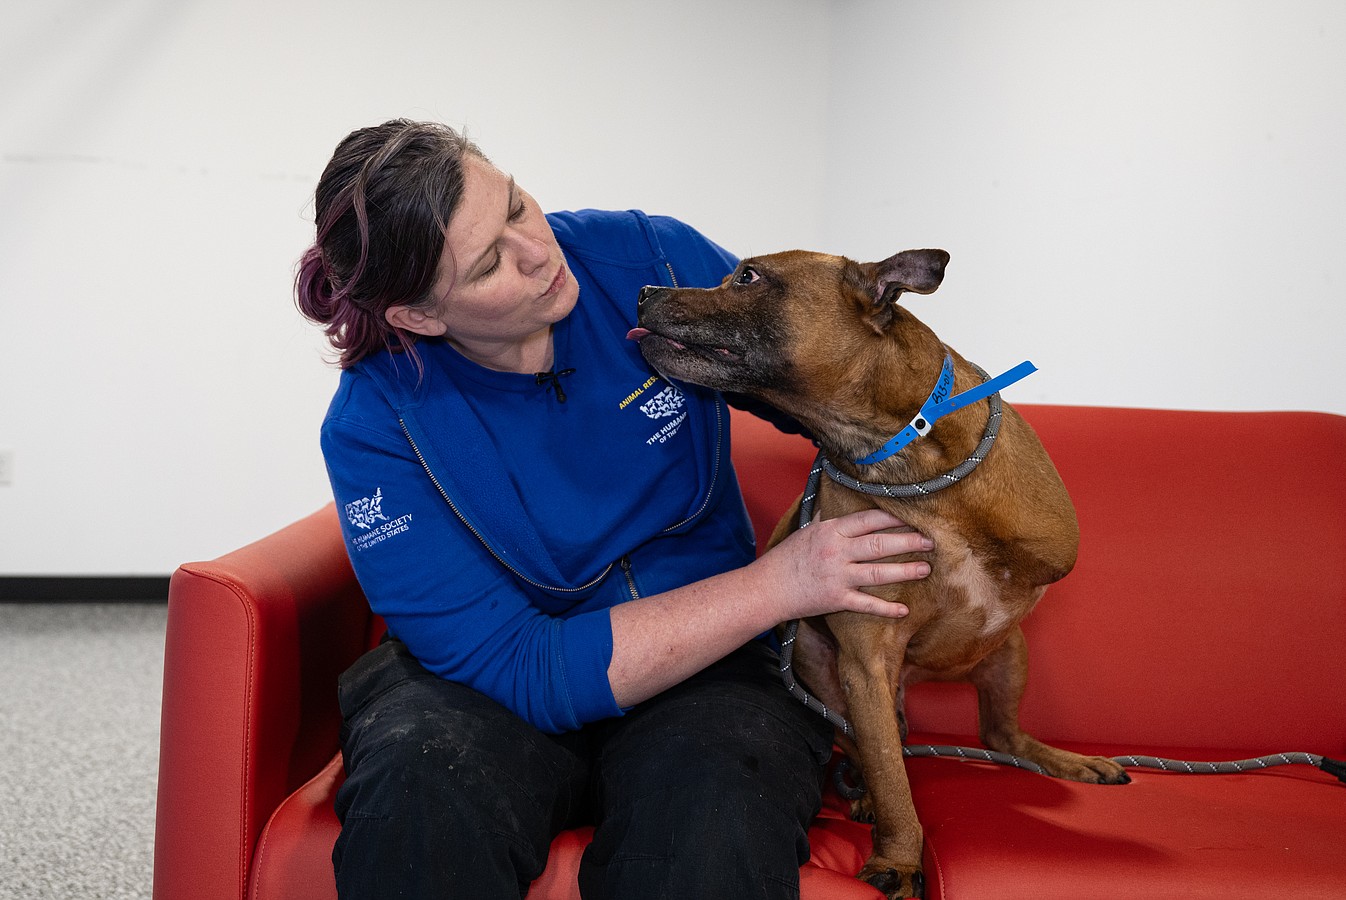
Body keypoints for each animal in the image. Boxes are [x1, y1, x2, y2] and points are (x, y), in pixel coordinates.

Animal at [627, 251, 1125, 898]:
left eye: (747, 277)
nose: (643, 290)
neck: (892, 444)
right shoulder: (865, 659)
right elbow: (892, 778)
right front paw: (900, 858)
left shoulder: (1046, 556)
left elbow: (1014, 572)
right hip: (820, 667)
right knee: (882, 750)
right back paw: (862, 790)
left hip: (1009, 655)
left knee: (1003, 736)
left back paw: (1067, 760)